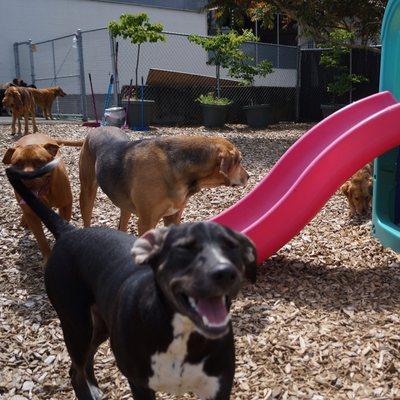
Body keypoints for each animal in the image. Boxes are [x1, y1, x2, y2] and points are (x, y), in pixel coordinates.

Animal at [6, 161, 256, 398]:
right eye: (183, 248)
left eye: (232, 246)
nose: (224, 272)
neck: (183, 333)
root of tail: (69, 232)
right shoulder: (140, 385)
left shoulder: (218, 387)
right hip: (76, 325)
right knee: (76, 372)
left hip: (99, 327)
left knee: (81, 364)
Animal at [79, 127, 250, 234]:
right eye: (240, 160)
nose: (249, 176)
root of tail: (98, 128)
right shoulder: (146, 222)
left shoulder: (173, 217)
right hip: (87, 194)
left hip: (125, 205)